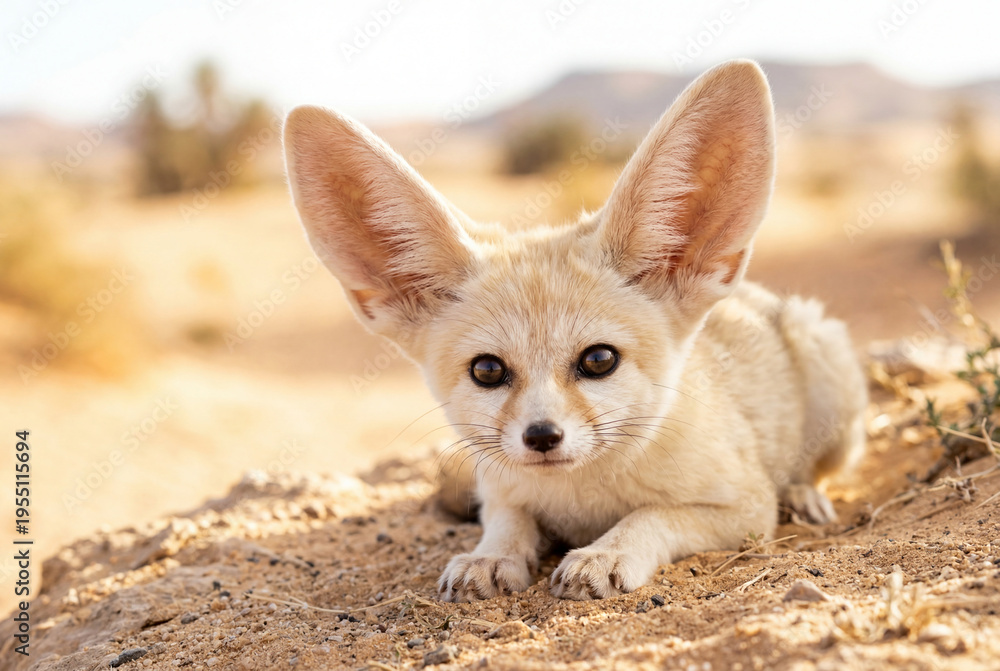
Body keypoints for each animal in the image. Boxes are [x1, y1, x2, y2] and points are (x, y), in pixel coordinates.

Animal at [282, 60, 867, 602]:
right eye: (487, 370)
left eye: (599, 360)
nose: (542, 437)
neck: (579, 496)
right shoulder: (499, 490)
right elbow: (507, 522)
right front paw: (490, 557)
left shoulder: (744, 507)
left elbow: (652, 515)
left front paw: (605, 553)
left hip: (825, 364)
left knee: (816, 467)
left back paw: (805, 495)